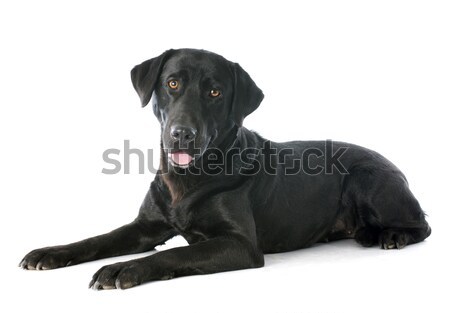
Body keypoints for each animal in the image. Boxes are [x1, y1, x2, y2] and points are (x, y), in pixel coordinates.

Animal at [19, 47, 430, 288]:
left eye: (215, 92)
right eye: (171, 84)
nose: (182, 134)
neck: (188, 178)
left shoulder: (240, 244)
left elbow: (174, 254)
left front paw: (123, 268)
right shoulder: (145, 227)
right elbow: (98, 239)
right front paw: (49, 253)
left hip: (368, 178)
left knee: (422, 225)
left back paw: (392, 235)